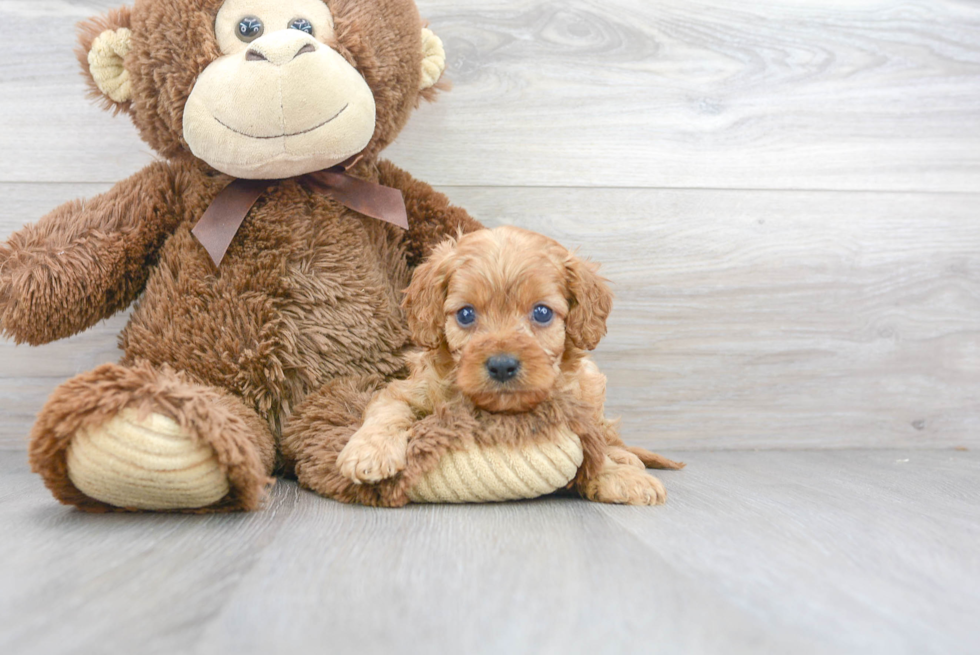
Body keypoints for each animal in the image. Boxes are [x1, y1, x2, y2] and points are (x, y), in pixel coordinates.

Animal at [336, 226, 680, 508]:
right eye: (465, 314)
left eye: (542, 312)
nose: (502, 366)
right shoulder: (408, 389)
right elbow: (387, 412)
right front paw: (369, 451)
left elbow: (594, 446)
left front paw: (615, 475)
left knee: (608, 435)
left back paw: (626, 457)